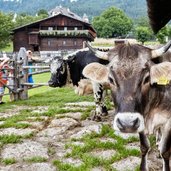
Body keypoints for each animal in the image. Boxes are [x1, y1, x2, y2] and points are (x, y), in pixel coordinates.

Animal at [83, 41, 171, 171]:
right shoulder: (141, 120)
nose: (127, 124)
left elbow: (165, 151)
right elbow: (144, 147)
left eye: (146, 78)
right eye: (111, 79)